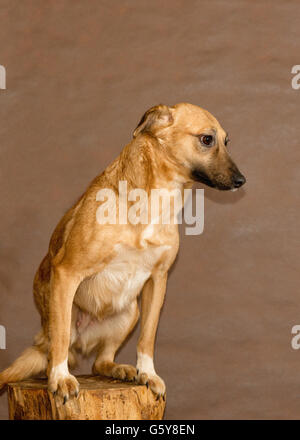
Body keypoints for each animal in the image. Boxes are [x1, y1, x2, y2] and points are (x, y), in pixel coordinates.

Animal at [0, 102, 245, 402]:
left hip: (130, 312)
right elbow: (61, 337)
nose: (241, 180)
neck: (155, 201)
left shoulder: (158, 281)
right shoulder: (67, 272)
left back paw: (120, 370)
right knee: (58, 347)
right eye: (207, 139)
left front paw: (147, 374)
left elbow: (148, 338)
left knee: (100, 361)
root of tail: (81, 344)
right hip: (63, 318)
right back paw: (59, 370)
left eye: (226, 141)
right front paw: (60, 379)